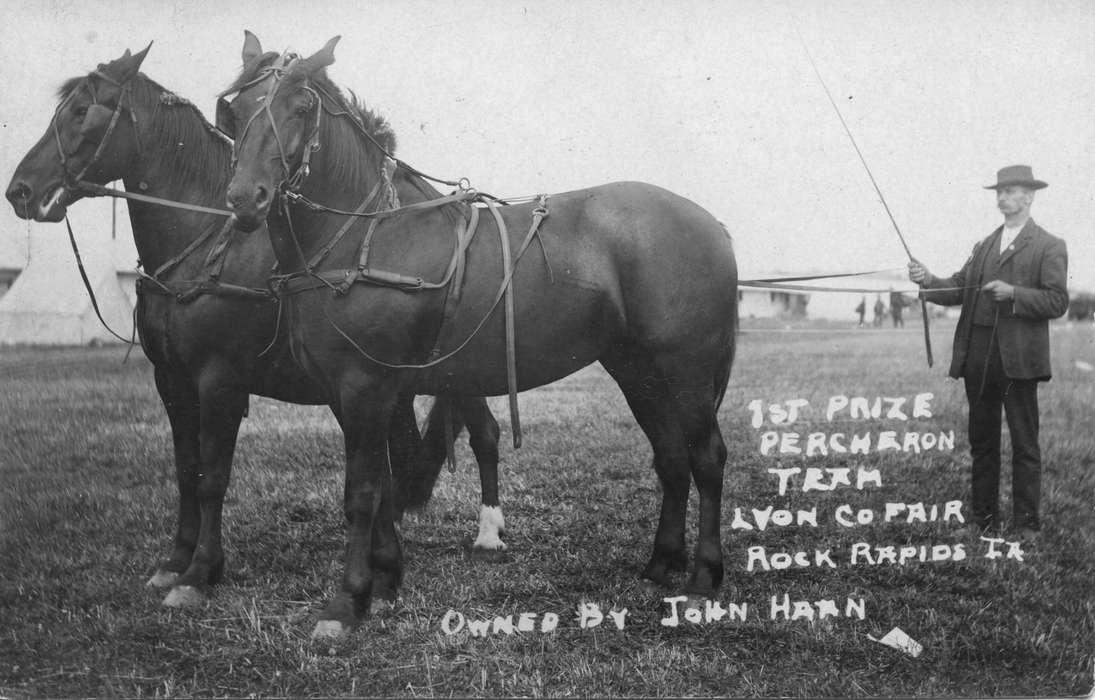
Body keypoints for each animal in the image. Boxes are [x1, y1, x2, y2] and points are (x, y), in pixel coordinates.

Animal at [3, 46, 508, 609]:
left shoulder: (219, 380)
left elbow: (213, 478)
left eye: (80, 112)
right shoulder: (172, 381)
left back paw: (488, 534)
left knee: (484, 434)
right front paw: (173, 563)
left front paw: (200, 572)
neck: (204, 244)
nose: (20, 190)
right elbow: (186, 471)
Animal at [219, 34, 740, 639]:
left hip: (686, 373)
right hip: (639, 372)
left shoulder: (364, 386)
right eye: (235, 110)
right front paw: (386, 580)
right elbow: (385, 486)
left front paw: (348, 602)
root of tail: (711, 224)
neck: (368, 236)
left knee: (707, 458)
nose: (245, 200)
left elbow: (362, 494)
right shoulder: (353, 393)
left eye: (301, 107)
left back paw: (703, 575)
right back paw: (661, 563)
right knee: (672, 458)